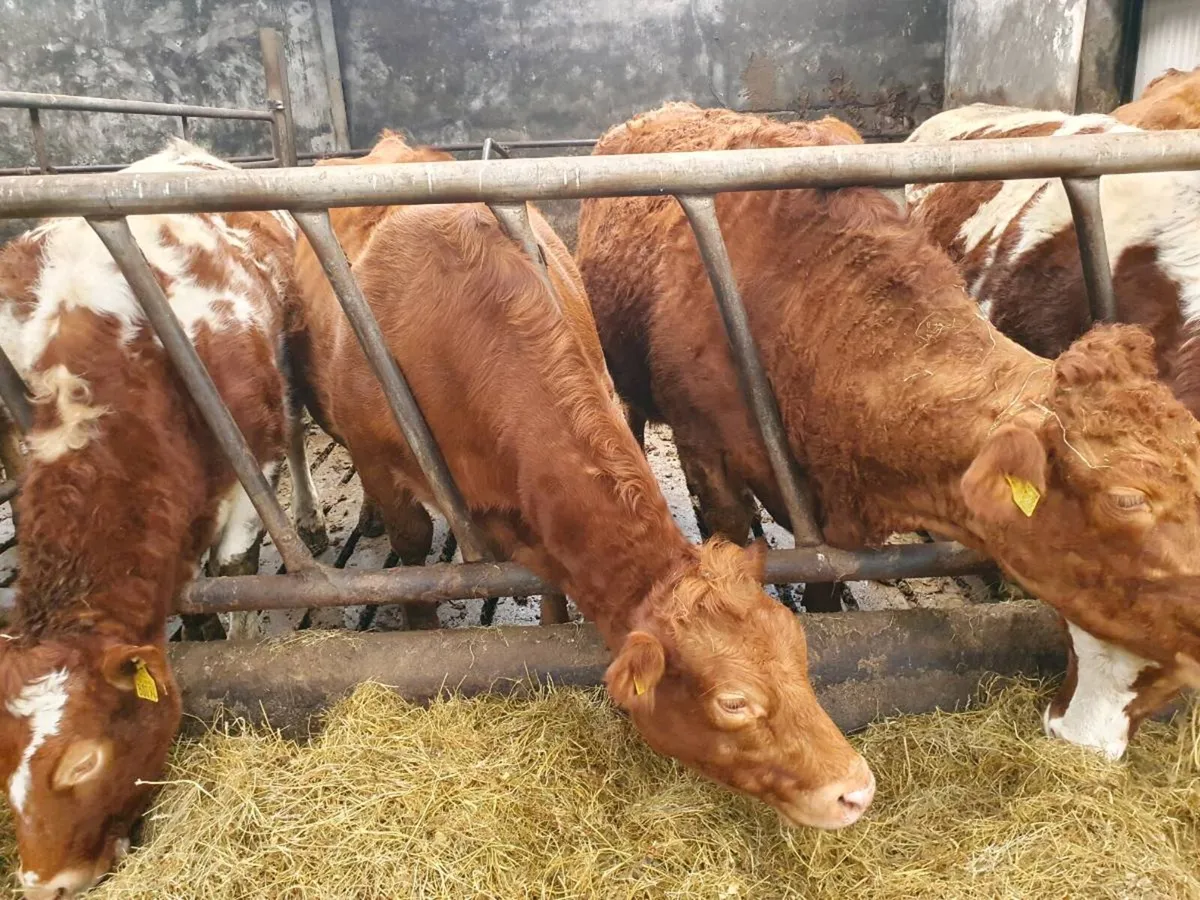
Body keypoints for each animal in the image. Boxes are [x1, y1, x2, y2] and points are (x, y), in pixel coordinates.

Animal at [0, 139, 326, 898]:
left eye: (82, 761)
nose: (45, 884)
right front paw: (199, 628)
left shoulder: (250, 461)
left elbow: (237, 571)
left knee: (299, 434)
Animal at [289, 130, 875, 833]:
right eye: (734, 702)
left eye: (801, 656)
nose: (856, 788)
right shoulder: (377, 457)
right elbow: (412, 554)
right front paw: (422, 633)